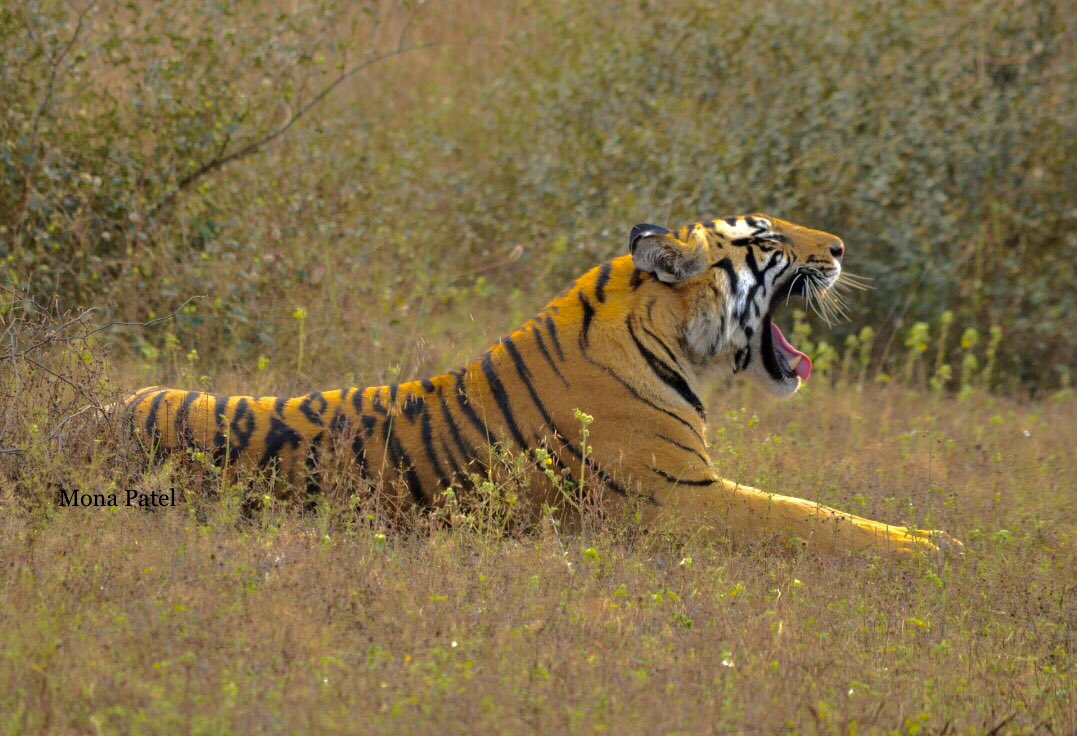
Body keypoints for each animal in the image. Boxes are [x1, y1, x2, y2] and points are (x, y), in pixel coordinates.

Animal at [123, 215, 960, 556]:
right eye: (768, 238)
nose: (841, 248)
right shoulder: (678, 500)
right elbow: (810, 520)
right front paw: (934, 549)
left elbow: (818, 510)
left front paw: (930, 538)